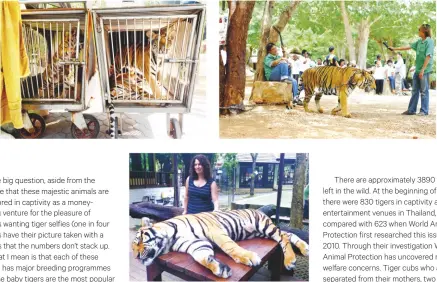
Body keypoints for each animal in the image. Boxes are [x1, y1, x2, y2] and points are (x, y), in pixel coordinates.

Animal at [131, 209, 308, 278]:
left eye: (139, 241)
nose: (136, 257)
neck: (170, 238)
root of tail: (260, 210)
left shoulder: (215, 232)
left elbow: (230, 247)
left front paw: (249, 257)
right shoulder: (195, 244)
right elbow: (202, 257)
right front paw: (219, 268)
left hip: (263, 226)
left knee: (283, 237)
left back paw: (290, 260)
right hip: (262, 231)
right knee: (287, 234)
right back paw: (305, 248)